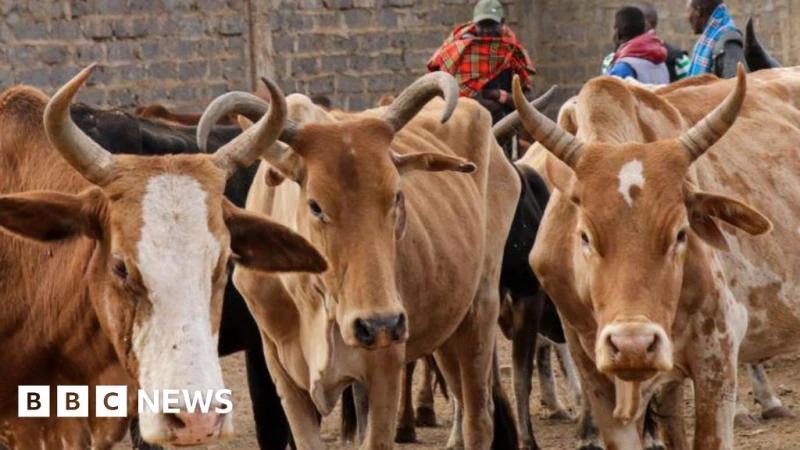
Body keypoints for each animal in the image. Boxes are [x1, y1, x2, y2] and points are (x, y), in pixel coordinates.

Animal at [196, 71, 521, 449]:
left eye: (396, 196)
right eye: (315, 205)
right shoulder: (283, 375)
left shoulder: (385, 367)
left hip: (480, 309)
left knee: (478, 419)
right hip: (447, 327)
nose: (379, 324)